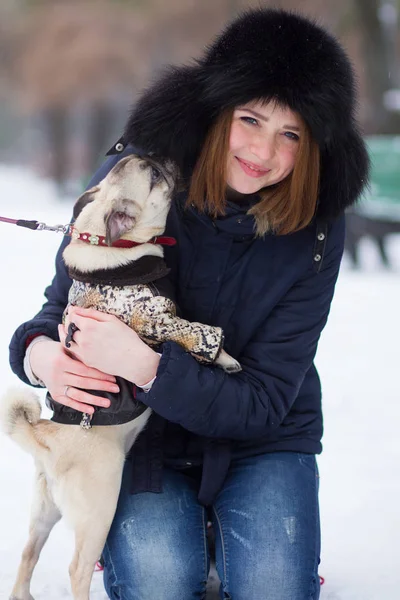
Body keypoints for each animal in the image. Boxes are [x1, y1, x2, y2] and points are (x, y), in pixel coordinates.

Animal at [0, 154, 241, 600]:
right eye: (155, 176)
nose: (166, 158)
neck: (109, 247)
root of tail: (47, 437)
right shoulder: (158, 323)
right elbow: (196, 333)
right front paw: (224, 357)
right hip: (99, 509)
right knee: (78, 568)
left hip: (45, 510)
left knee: (27, 554)